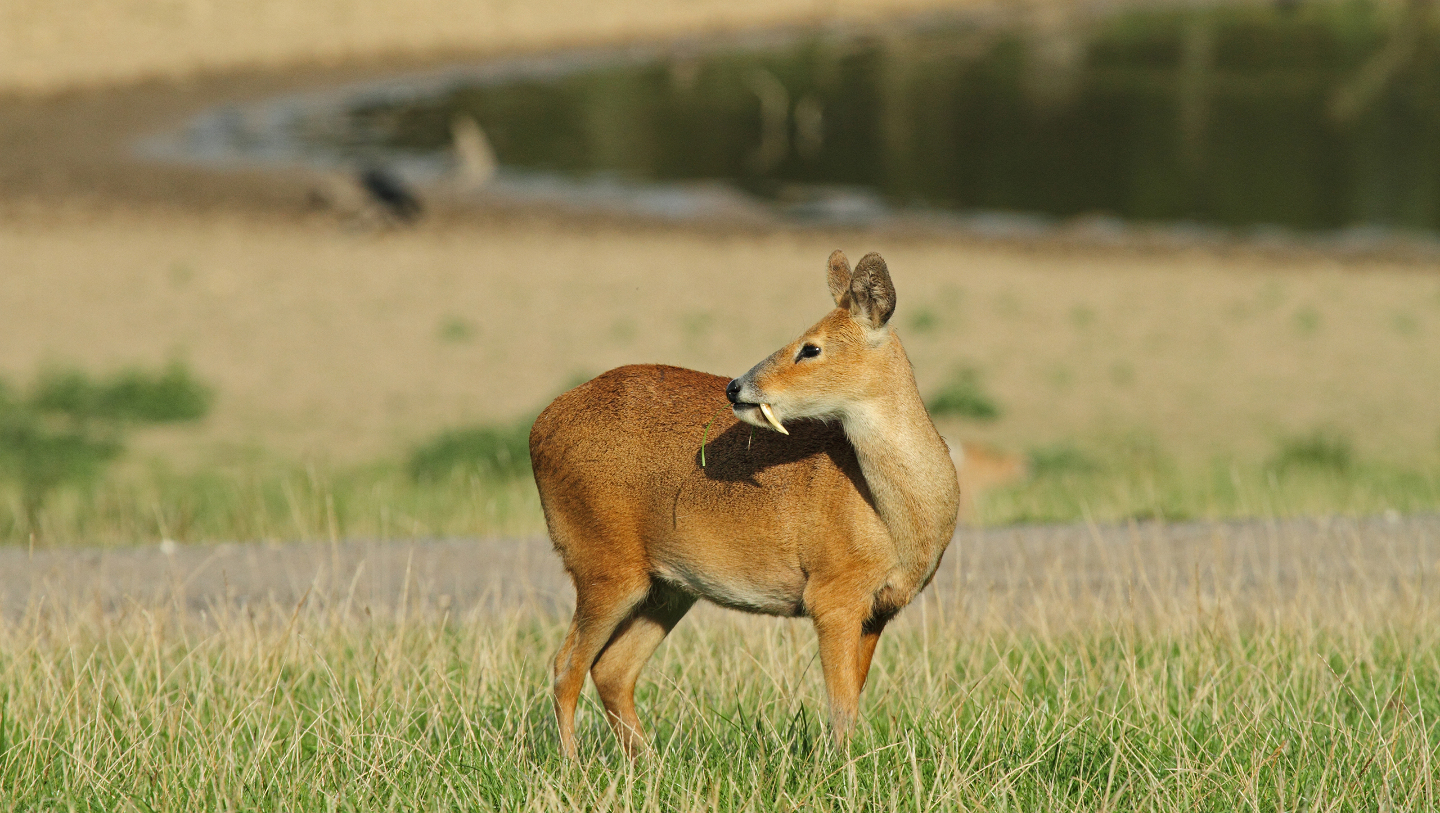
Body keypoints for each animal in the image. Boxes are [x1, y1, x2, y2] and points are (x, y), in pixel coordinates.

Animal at [529, 250, 961, 759]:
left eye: (810, 348)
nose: (736, 386)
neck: (896, 518)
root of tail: (539, 426)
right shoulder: (832, 593)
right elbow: (841, 706)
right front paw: (842, 768)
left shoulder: (880, 608)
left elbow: (852, 696)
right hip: (602, 562)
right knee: (565, 666)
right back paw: (574, 766)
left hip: (666, 588)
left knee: (611, 670)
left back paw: (648, 764)